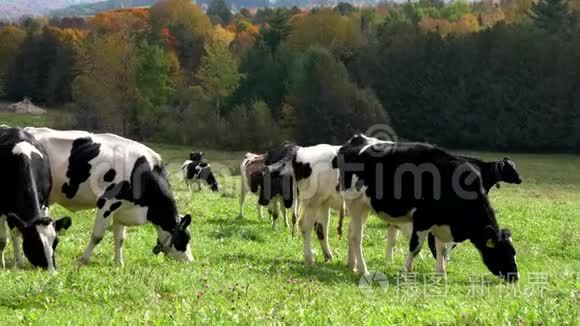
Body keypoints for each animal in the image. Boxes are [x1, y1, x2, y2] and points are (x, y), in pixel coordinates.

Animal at [0, 127, 72, 272]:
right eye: (35, 243)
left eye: (56, 242)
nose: (51, 270)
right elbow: (3, 240)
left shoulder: (44, 203)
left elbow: (16, 233)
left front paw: (19, 262)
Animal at [24, 126, 193, 266]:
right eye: (185, 238)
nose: (190, 261)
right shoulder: (107, 203)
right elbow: (97, 236)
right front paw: (83, 259)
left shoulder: (122, 210)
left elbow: (120, 239)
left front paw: (119, 263)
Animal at [338, 135, 520, 282]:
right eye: (504, 252)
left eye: (514, 252)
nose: (516, 277)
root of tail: (357, 141)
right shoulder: (422, 219)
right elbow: (415, 247)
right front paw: (405, 272)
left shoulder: (440, 223)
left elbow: (441, 249)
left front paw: (441, 274)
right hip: (355, 203)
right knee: (356, 237)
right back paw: (364, 270)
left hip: (364, 207)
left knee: (351, 234)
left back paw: (352, 265)